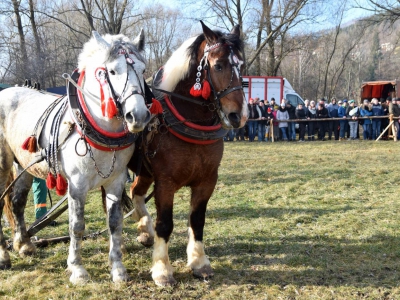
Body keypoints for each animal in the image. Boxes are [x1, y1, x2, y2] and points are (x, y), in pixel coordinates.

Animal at [0, 31, 152, 284]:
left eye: (142, 70)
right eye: (112, 71)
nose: (137, 115)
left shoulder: (116, 181)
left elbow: (115, 223)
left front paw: (118, 269)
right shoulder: (77, 186)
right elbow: (77, 226)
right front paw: (77, 269)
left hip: (24, 166)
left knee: (18, 202)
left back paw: (24, 245)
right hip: (2, 165)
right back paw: (4, 255)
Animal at [127, 21, 247, 286]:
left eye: (241, 65)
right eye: (218, 65)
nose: (238, 116)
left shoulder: (207, 180)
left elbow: (197, 220)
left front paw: (199, 262)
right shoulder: (165, 183)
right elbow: (165, 224)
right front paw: (162, 269)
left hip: (144, 172)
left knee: (135, 192)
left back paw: (144, 231)